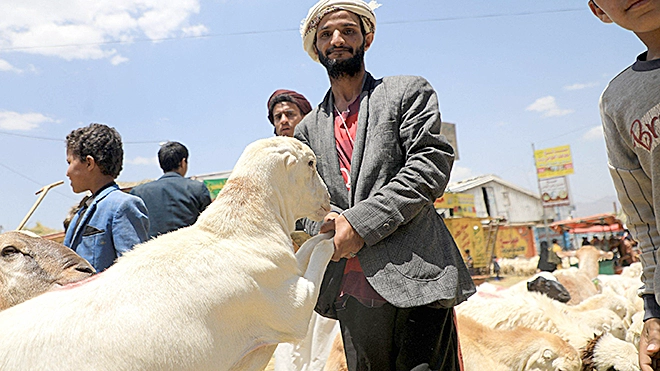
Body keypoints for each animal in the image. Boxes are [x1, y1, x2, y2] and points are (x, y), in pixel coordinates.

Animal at [0, 137, 332, 371]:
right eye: (311, 163)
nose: (329, 199)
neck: (238, 228)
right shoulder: (292, 307)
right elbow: (319, 251)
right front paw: (332, 232)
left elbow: (306, 251)